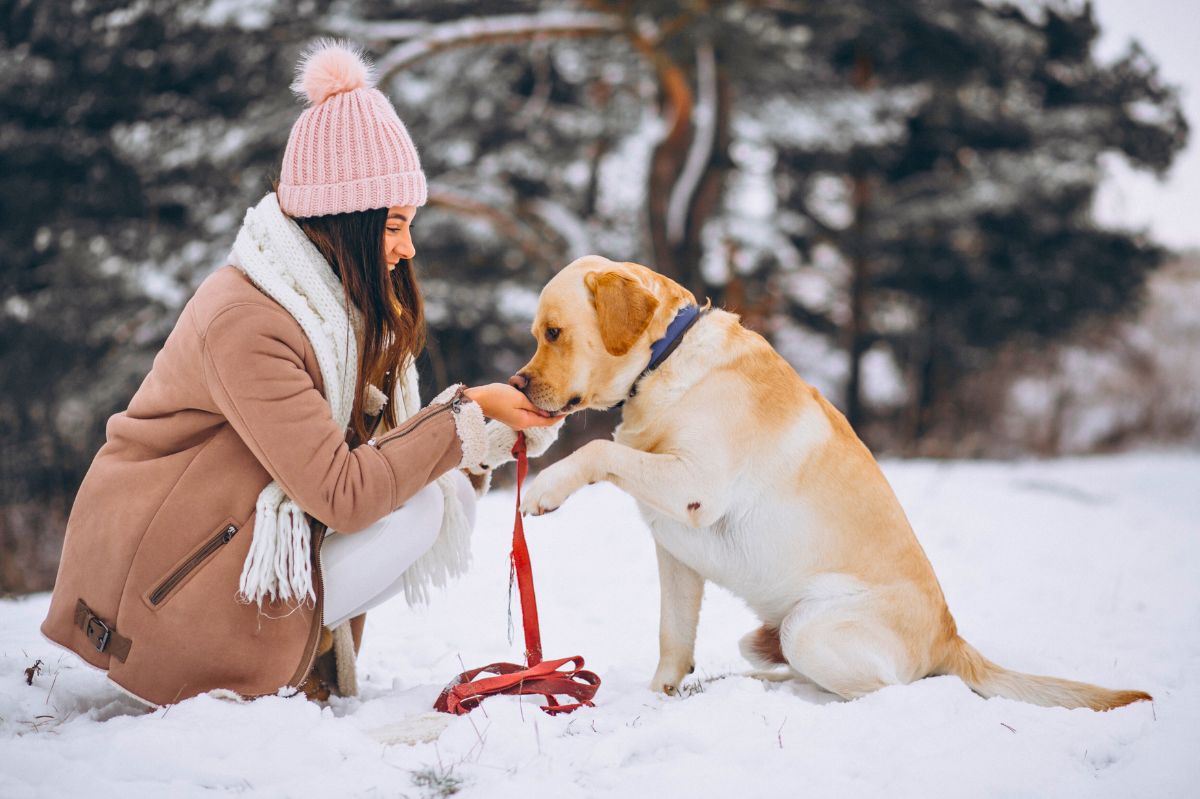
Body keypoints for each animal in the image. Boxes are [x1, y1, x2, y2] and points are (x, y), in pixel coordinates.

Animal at [516, 251, 1152, 705]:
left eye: (553, 333)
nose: (518, 384)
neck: (664, 362)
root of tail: (952, 639)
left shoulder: (696, 485)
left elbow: (598, 448)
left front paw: (545, 489)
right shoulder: (675, 554)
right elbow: (673, 638)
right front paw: (656, 700)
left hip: (809, 628)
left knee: (891, 692)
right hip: (770, 637)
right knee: (796, 674)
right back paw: (747, 685)